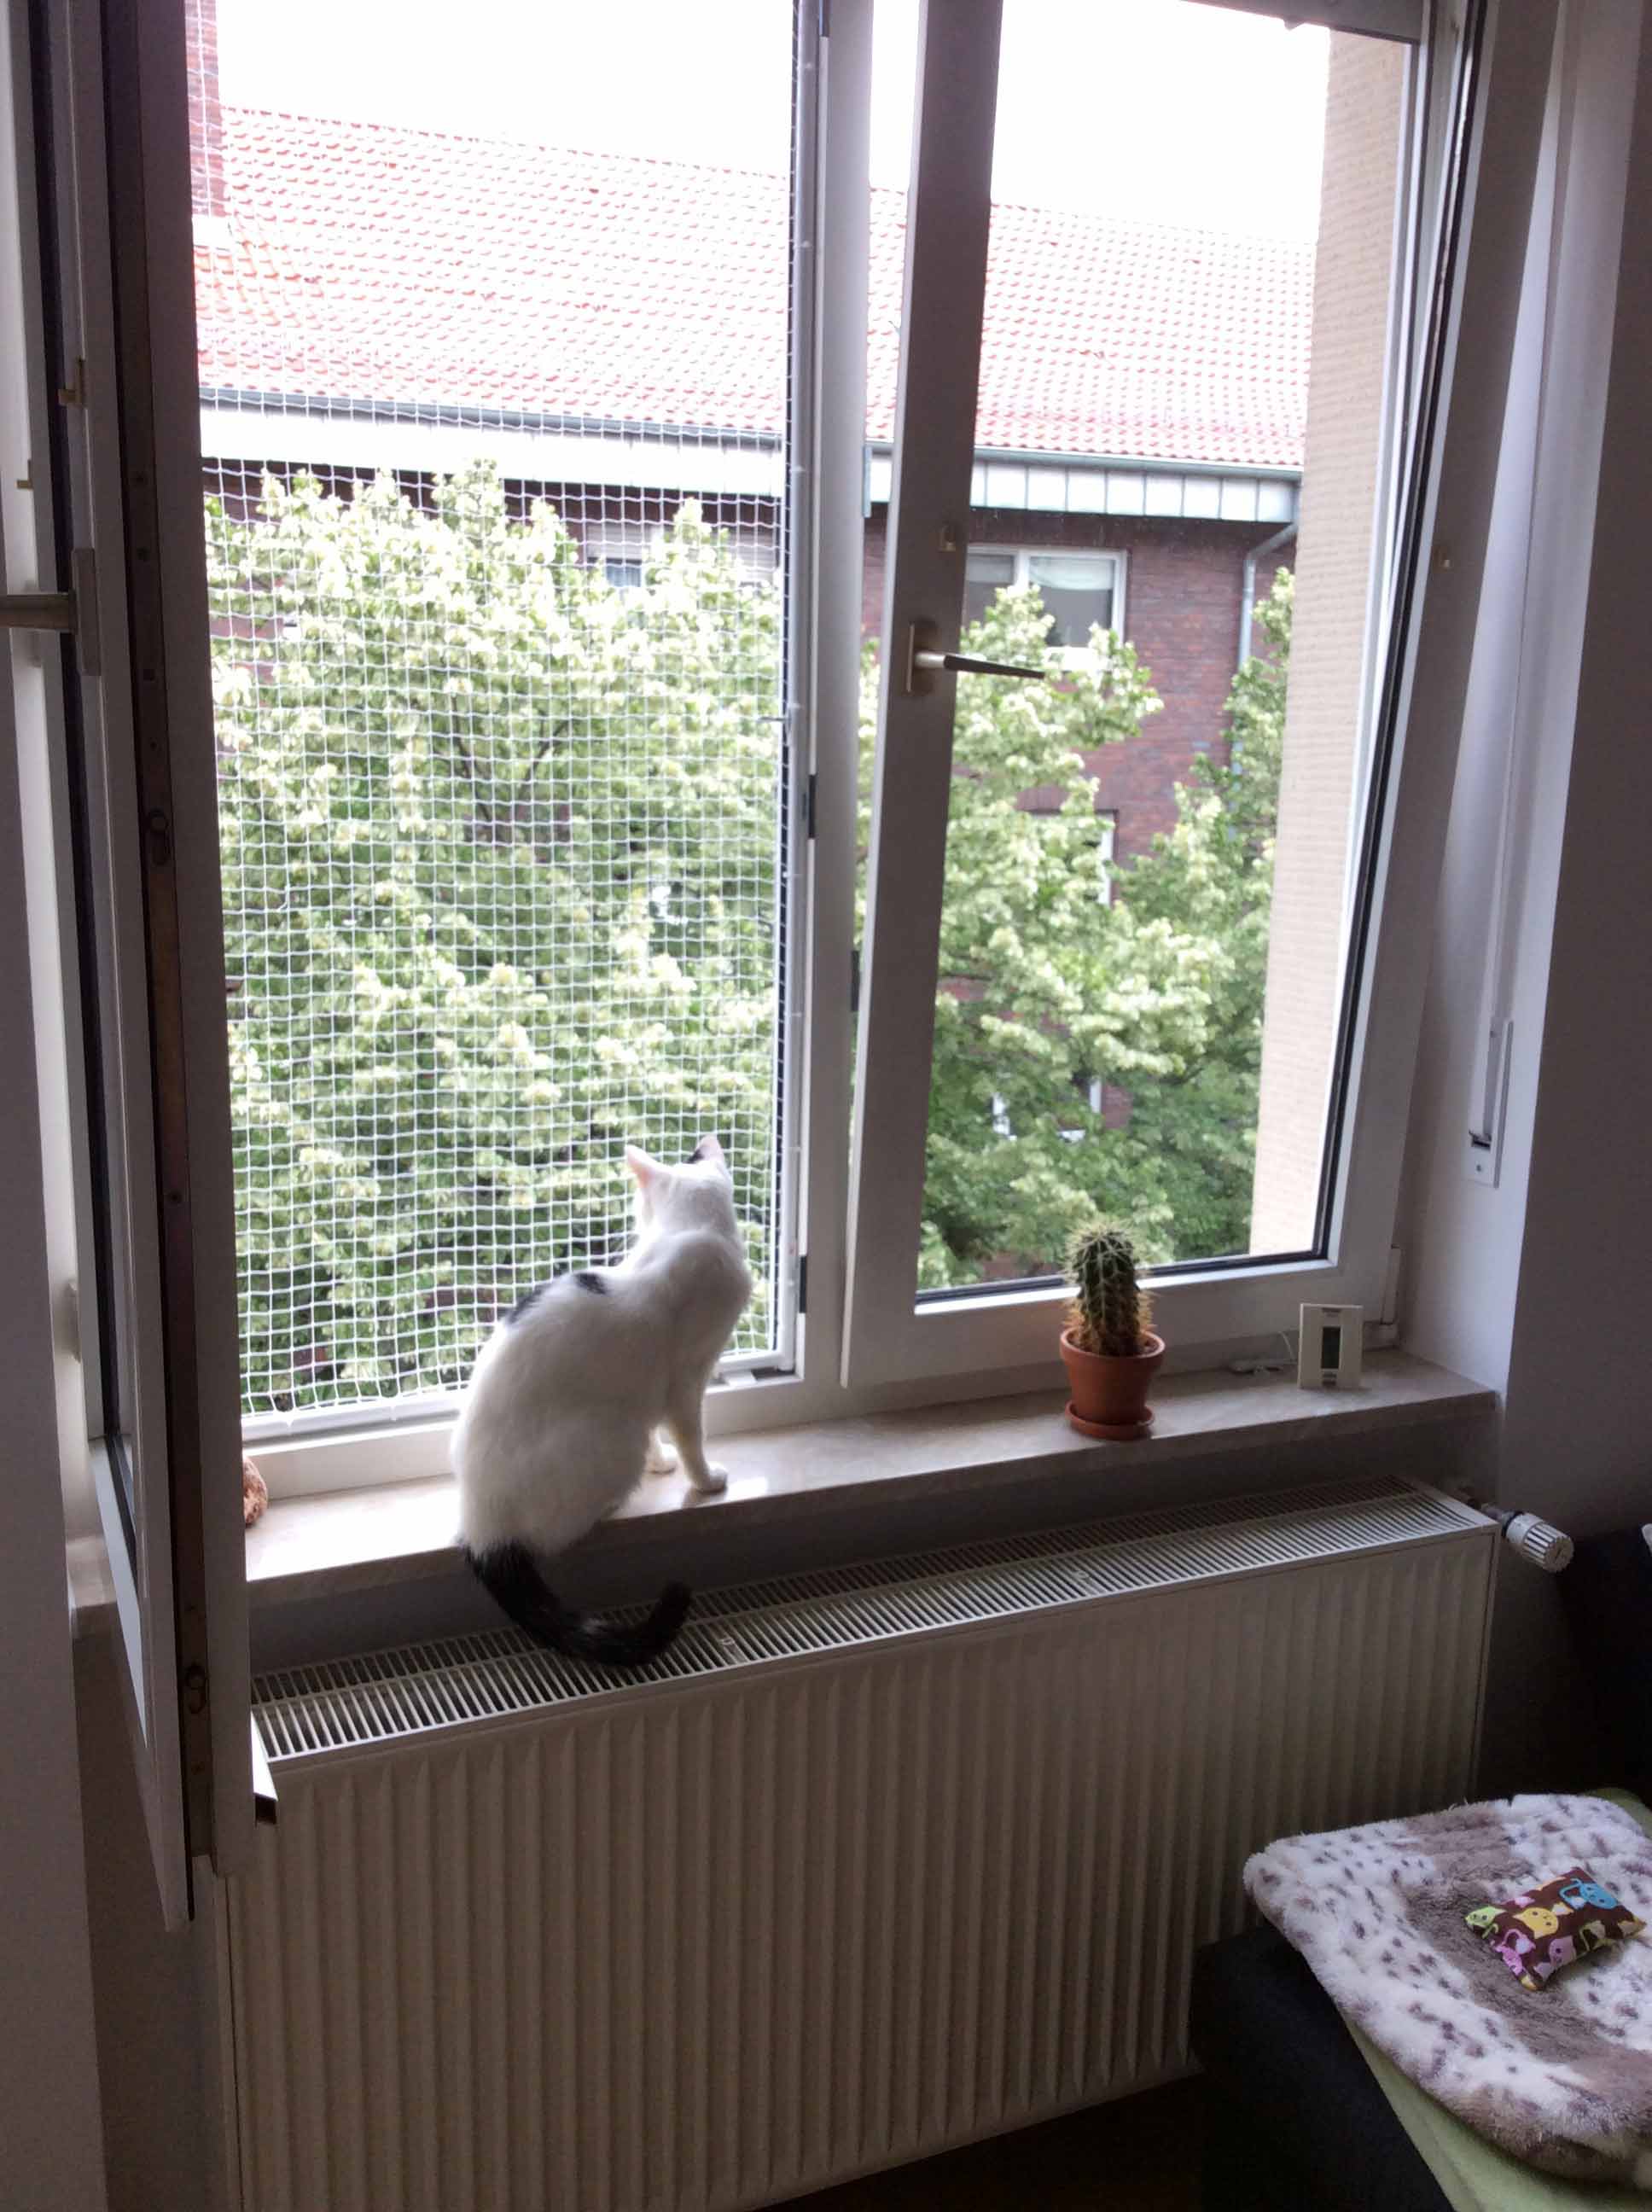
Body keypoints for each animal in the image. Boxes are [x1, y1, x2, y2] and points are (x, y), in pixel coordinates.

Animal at [457, 1141, 756, 1663]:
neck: (693, 1228)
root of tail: (482, 1525)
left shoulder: (648, 1388)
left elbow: (658, 1430)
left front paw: (663, 1463)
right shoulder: (686, 1380)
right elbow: (690, 1436)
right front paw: (705, 1481)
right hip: (612, 1443)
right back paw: (614, 1501)